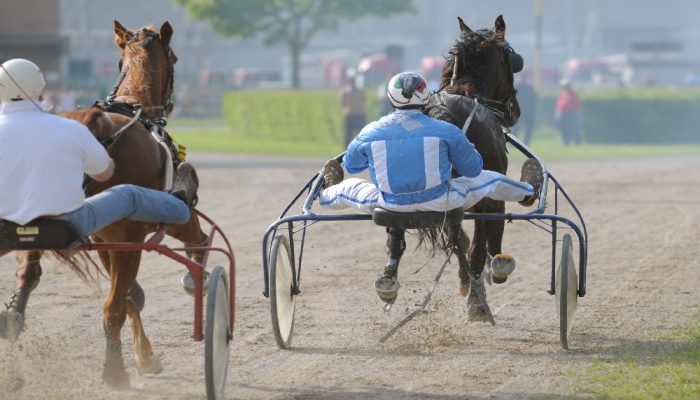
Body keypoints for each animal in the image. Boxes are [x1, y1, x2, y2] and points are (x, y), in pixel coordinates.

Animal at [3, 21, 211, 388]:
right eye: (174, 58)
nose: (170, 106)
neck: (130, 108)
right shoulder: (132, 230)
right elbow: (129, 296)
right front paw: (144, 356)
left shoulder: (104, 238)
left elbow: (130, 297)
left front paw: (144, 354)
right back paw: (115, 370)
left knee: (28, 279)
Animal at [422, 15, 520, 320]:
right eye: (512, 59)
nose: (516, 110)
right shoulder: (491, 196)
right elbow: (486, 242)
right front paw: (492, 272)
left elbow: (460, 242)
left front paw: (468, 281)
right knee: (476, 247)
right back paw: (478, 302)